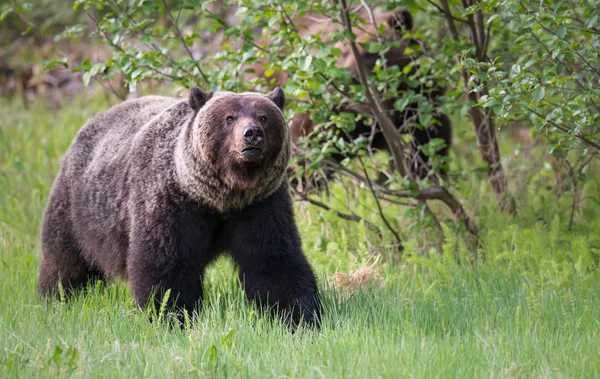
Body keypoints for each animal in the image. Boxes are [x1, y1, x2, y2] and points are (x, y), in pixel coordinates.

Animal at [38, 86, 324, 330]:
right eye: (229, 117)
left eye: (264, 117)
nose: (252, 133)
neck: (221, 198)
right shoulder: (171, 202)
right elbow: (165, 264)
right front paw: (170, 316)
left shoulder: (260, 205)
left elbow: (274, 259)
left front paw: (299, 317)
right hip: (79, 207)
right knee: (65, 260)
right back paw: (55, 298)